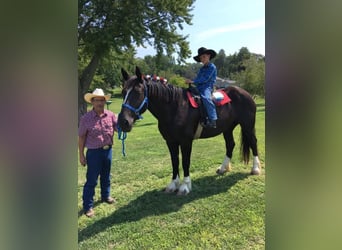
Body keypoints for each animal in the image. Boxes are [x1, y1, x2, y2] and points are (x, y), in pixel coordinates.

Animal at [119, 67, 260, 195]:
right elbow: (174, 161)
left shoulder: (186, 141)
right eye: (123, 91)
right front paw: (173, 184)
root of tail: (245, 93)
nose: (123, 122)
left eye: (138, 91)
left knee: (253, 142)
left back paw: (256, 169)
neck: (175, 107)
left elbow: (185, 162)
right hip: (227, 128)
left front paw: (185, 186)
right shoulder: (170, 141)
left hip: (247, 126)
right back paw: (222, 168)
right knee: (230, 144)